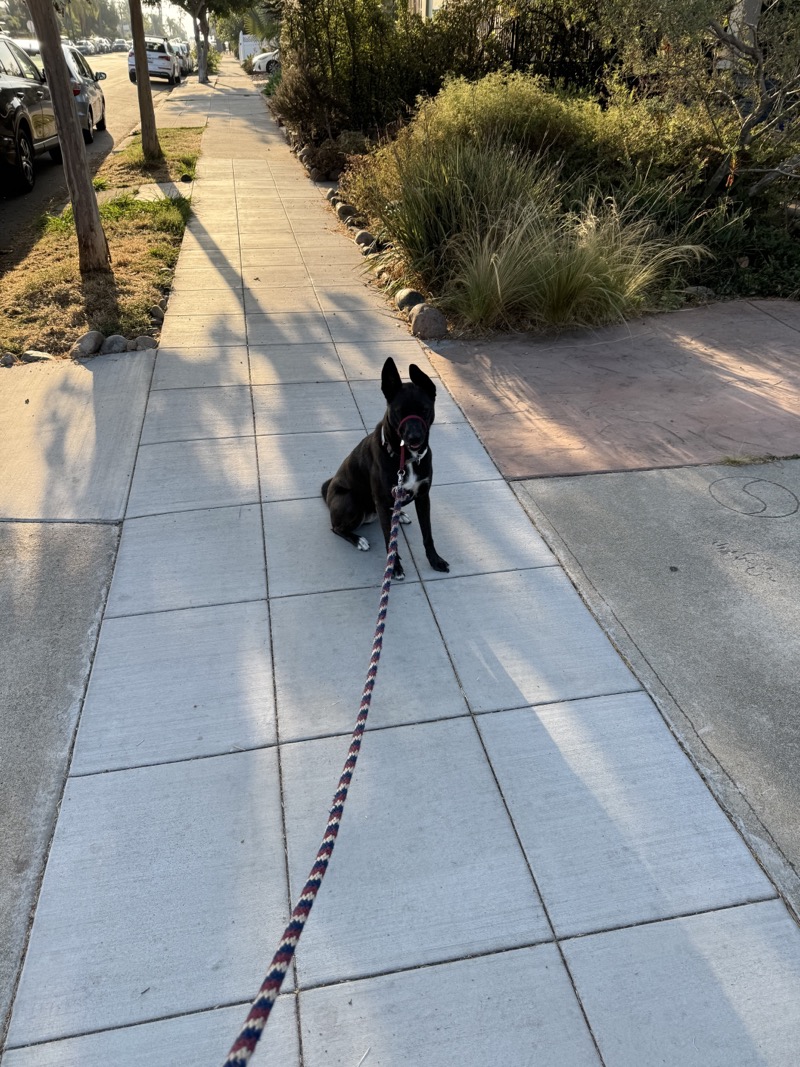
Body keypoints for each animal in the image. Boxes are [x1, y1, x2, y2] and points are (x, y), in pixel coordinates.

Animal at [324, 358, 452, 580]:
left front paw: (435, 560)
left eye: (425, 410)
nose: (414, 439)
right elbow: (388, 541)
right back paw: (358, 539)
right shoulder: (383, 501)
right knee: (336, 528)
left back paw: (400, 515)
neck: (407, 459)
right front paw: (396, 567)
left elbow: (428, 534)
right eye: (399, 411)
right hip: (351, 501)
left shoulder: (423, 496)